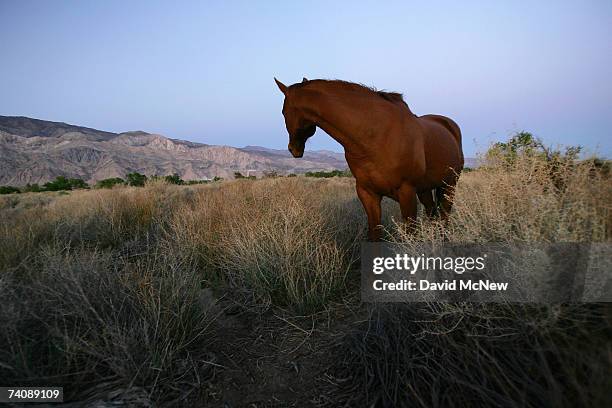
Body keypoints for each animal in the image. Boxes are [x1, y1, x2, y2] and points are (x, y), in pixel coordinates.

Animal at [274, 78, 464, 241]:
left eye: (283, 112)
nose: (293, 149)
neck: (374, 136)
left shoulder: (407, 192)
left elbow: (411, 236)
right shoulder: (367, 193)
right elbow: (375, 236)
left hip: (449, 185)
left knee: (444, 218)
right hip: (425, 189)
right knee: (434, 216)